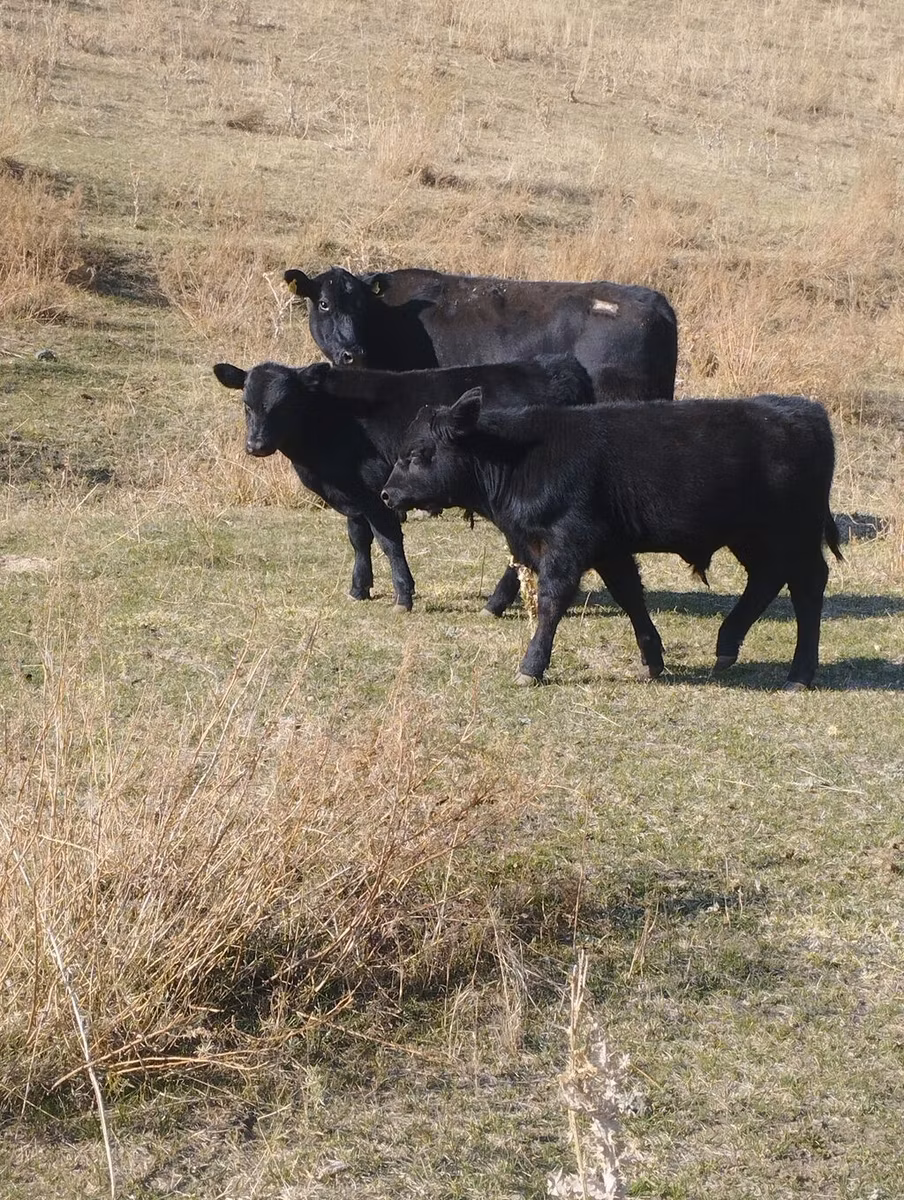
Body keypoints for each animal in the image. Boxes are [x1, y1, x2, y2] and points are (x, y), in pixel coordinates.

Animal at [211, 354, 595, 613]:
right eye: (246, 405)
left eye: (287, 404)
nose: (256, 445)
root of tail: (555, 365)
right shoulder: (352, 494)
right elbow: (359, 539)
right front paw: (359, 588)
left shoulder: (375, 494)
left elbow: (388, 541)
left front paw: (403, 595)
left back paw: (495, 602)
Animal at [381, 391, 842, 689]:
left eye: (417, 453)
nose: (386, 494)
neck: (520, 459)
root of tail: (804, 410)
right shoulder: (609, 549)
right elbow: (630, 595)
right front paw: (652, 659)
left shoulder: (566, 544)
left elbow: (552, 602)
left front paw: (532, 666)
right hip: (755, 537)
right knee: (767, 578)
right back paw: (727, 646)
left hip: (793, 535)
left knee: (807, 586)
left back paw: (800, 673)